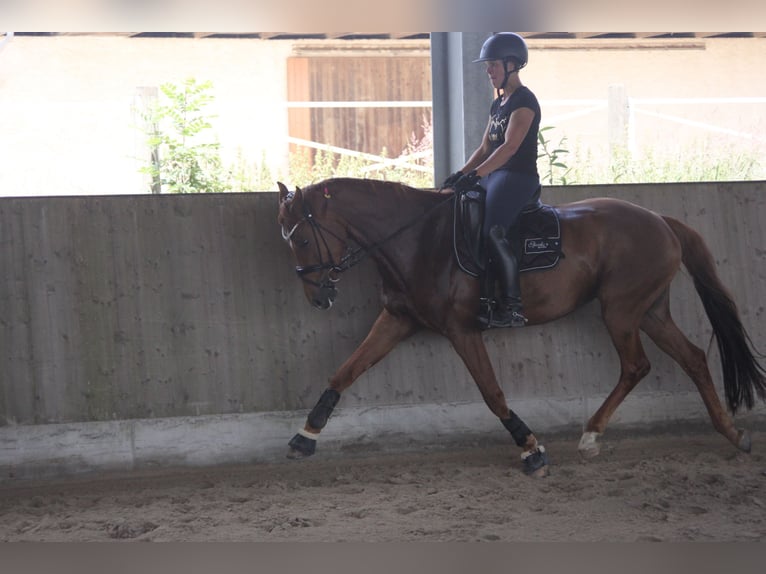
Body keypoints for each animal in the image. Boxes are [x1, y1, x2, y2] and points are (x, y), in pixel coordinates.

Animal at [278, 177, 766, 476]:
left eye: (300, 238)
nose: (319, 298)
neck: (418, 240)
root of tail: (660, 220)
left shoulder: (462, 331)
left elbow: (491, 392)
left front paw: (531, 448)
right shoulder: (397, 320)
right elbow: (345, 372)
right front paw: (305, 436)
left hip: (622, 310)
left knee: (636, 366)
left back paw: (591, 436)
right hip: (649, 312)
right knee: (693, 358)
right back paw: (734, 434)